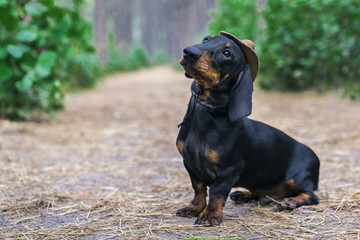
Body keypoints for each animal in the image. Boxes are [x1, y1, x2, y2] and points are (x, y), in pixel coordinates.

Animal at [176, 31, 320, 225]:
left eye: (227, 53)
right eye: (206, 40)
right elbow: (198, 188)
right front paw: (193, 208)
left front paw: (210, 214)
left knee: (311, 196)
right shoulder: (189, 163)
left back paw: (290, 202)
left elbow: (216, 191)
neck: (206, 111)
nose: (189, 52)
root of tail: (316, 157)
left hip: (299, 178)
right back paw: (244, 194)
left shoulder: (229, 170)